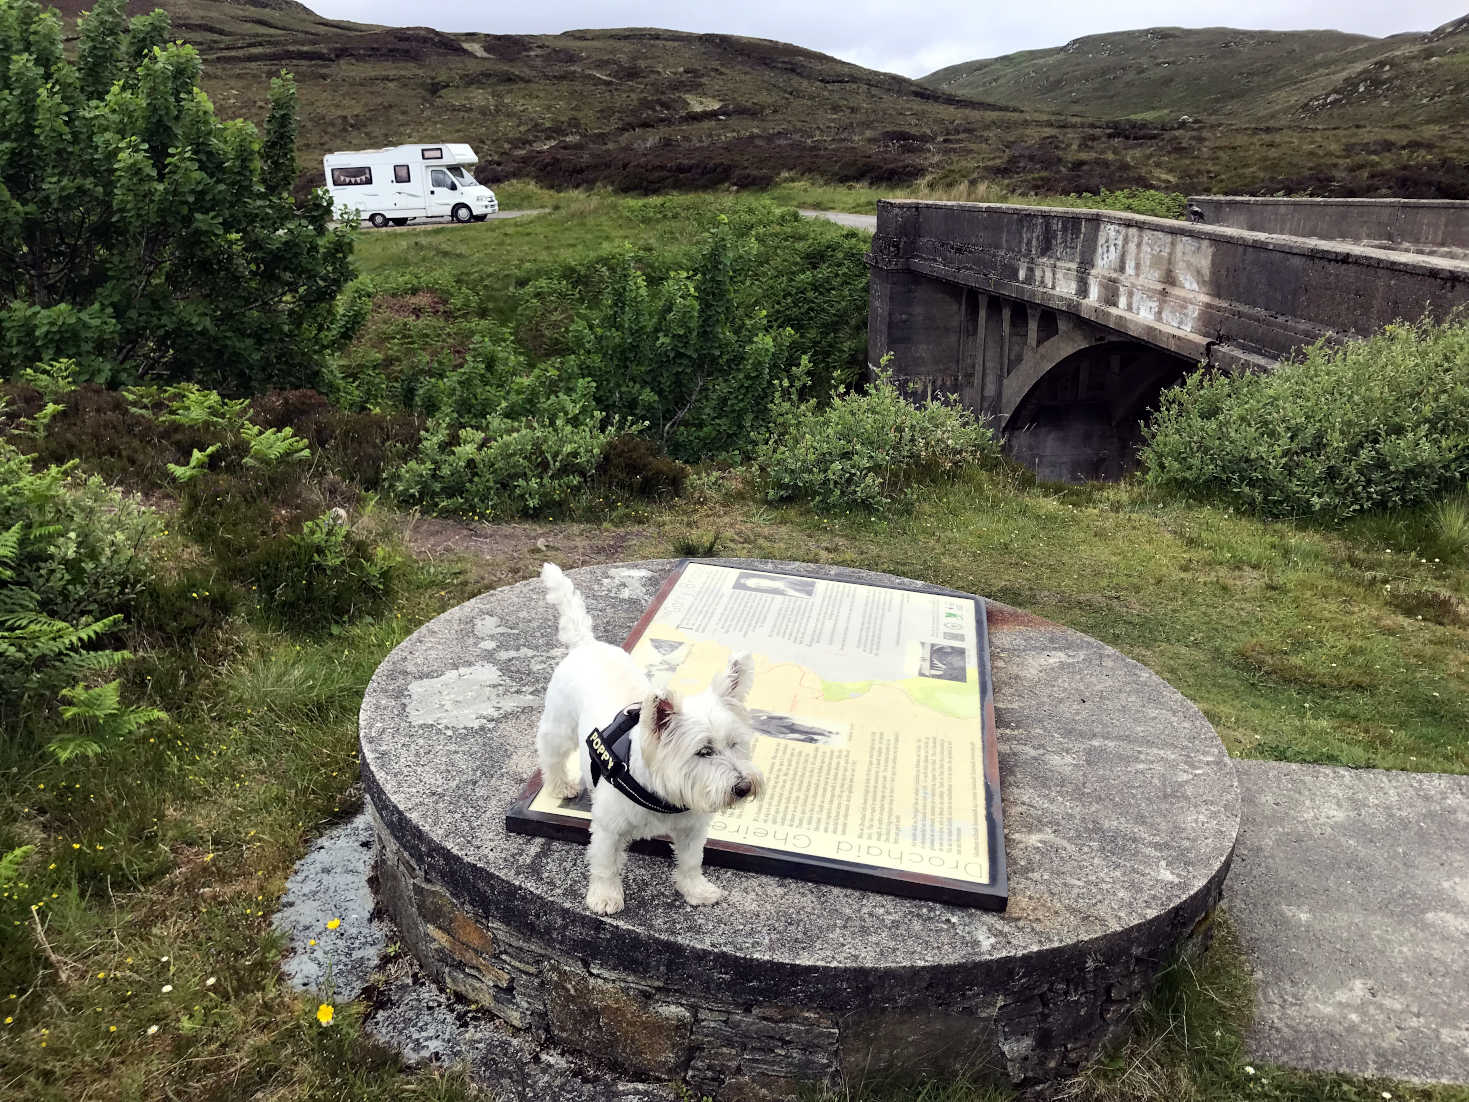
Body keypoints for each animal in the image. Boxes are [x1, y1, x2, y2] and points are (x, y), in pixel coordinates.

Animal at [540, 564, 769, 916]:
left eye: (735, 744)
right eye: (704, 751)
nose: (744, 787)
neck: (664, 796)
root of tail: (586, 644)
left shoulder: (692, 829)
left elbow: (691, 861)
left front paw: (695, 890)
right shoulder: (608, 828)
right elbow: (605, 864)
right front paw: (605, 896)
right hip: (559, 726)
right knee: (550, 755)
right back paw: (560, 785)